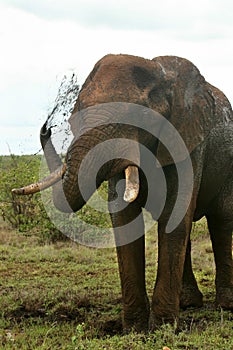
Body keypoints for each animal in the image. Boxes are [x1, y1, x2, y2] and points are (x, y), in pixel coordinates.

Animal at [12, 53, 233, 332]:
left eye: (139, 117)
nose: (47, 126)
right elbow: (124, 217)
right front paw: (135, 329)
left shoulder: (187, 141)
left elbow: (175, 212)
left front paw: (161, 328)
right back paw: (188, 304)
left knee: (221, 220)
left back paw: (224, 306)